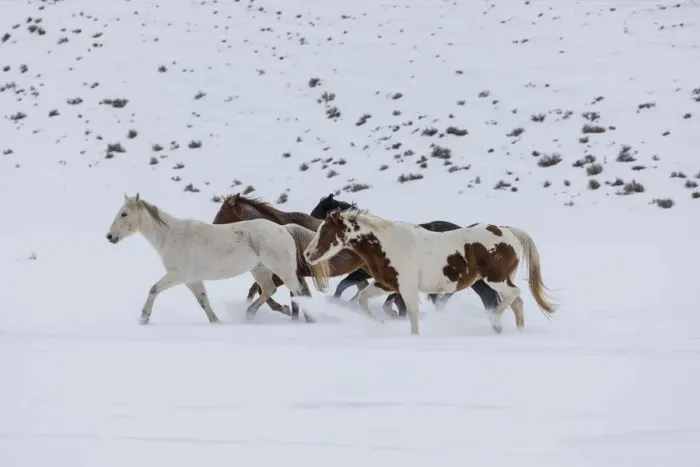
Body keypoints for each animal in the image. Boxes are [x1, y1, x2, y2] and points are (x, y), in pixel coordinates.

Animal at [105, 193, 330, 324]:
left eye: (124, 214)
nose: (109, 237)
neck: (171, 235)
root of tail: (284, 229)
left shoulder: (177, 275)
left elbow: (154, 289)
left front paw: (144, 317)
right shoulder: (191, 280)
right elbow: (203, 301)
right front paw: (215, 322)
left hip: (283, 271)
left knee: (299, 292)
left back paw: (307, 319)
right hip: (260, 270)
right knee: (270, 290)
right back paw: (250, 313)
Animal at [304, 208, 558, 336]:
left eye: (325, 230)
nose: (307, 254)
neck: (387, 243)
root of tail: (507, 231)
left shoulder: (406, 288)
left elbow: (412, 315)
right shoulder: (386, 284)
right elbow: (363, 300)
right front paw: (381, 324)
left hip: (495, 279)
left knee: (514, 296)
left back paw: (496, 322)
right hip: (500, 280)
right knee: (517, 303)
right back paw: (516, 331)